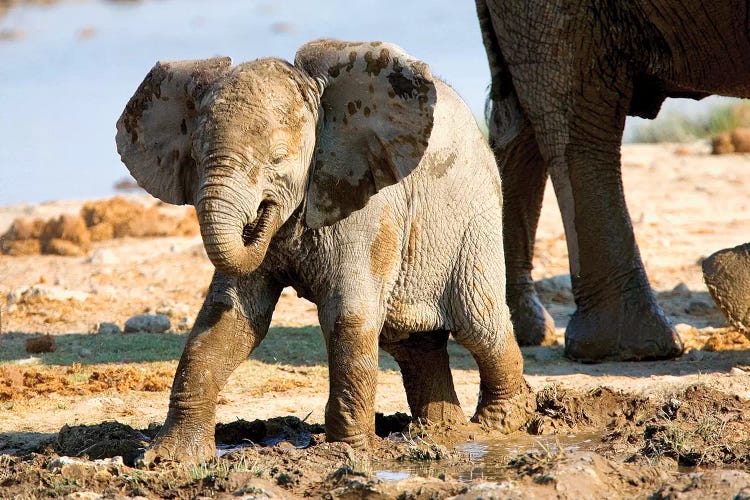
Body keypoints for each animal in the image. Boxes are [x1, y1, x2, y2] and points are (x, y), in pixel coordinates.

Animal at [116, 39, 528, 464]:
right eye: (196, 157)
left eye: (278, 158)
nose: (262, 215)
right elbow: (228, 318)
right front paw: (168, 458)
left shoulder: (366, 205)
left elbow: (347, 315)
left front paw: (347, 454)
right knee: (411, 343)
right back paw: (444, 432)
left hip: (474, 219)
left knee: (479, 325)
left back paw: (499, 425)